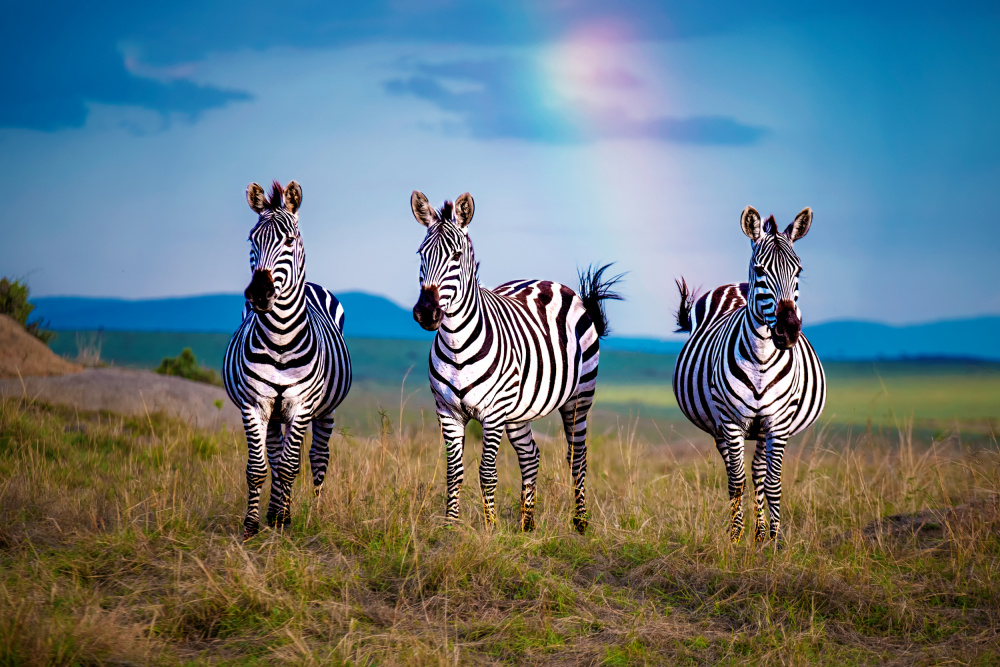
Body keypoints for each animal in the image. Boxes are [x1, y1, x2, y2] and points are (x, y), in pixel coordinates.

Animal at [224, 180, 352, 541]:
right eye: (252, 239)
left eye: (289, 241)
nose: (258, 294)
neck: (280, 339)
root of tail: (313, 284)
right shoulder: (255, 404)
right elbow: (259, 467)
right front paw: (253, 525)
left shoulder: (301, 405)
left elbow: (290, 465)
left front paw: (282, 520)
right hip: (274, 412)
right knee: (275, 451)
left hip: (324, 410)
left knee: (317, 458)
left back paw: (308, 513)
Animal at [410, 190, 622, 534]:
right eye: (421, 254)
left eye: (456, 255)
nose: (426, 312)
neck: (457, 346)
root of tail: (547, 281)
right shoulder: (447, 412)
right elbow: (453, 473)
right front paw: (450, 528)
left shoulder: (492, 414)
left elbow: (487, 472)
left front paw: (490, 529)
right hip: (519, 411)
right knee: (530, 456)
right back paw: (527, 524)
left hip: (579, 398)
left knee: (577, 457)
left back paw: (579, 524)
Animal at [672, 206, 826, 543]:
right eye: (760, 269)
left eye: (798, 270)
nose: (788, 331)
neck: (762, 360)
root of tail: (734, 286)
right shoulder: (731, 422)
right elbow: (736, 480)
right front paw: (734, 538)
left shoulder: (778, 424)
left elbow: (773, 483)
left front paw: (775, 541)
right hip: (721, 426)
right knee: (738, 473)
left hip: (764, 429)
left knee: (758, 474)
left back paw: (760, 534)